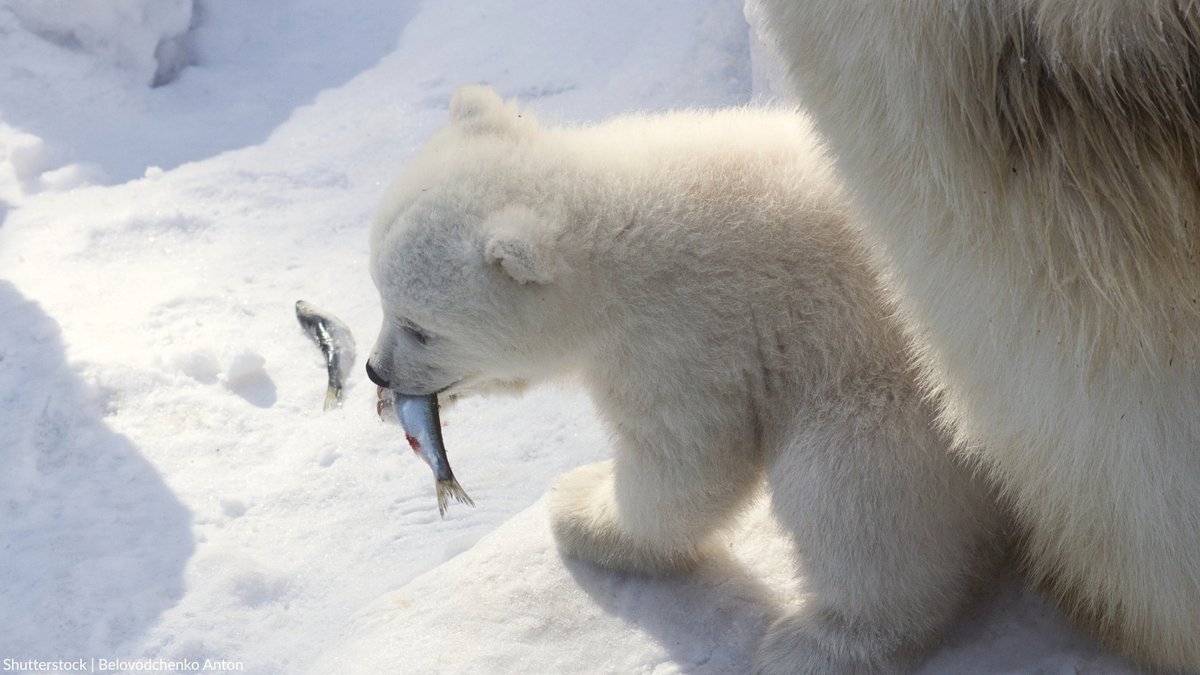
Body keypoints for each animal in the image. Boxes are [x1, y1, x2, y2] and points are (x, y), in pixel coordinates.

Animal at [364, 86, 1004, 673]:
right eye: (380, 293)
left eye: (420, 328)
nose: (375, 370)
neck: (615, 223)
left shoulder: (684, 339)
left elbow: (687, 464)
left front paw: (578, 508)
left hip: (901, 384)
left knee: (851, 491)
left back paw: (816, 644)